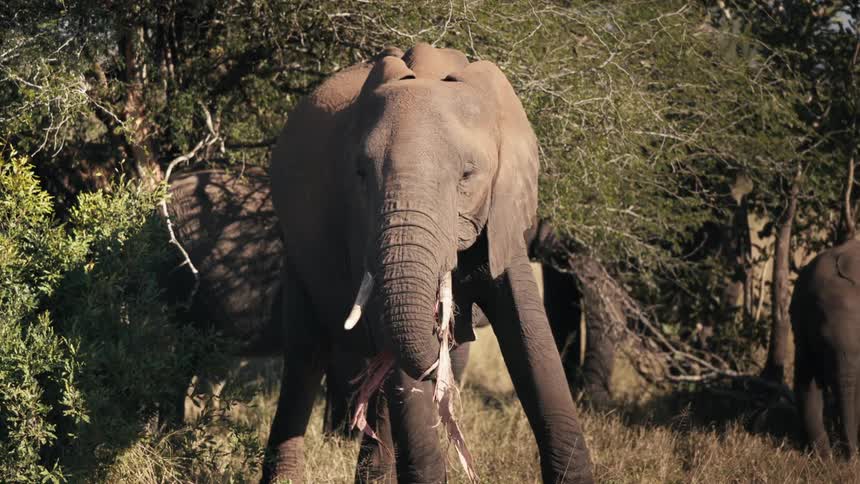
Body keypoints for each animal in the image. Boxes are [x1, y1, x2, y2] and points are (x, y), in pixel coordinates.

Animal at [265, 43, 594, 483]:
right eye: (360, 174)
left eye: (468, 175)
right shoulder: (361, 224)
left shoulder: (502, 213)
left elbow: (529, 332)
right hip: (296, 248)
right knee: (306, 353)